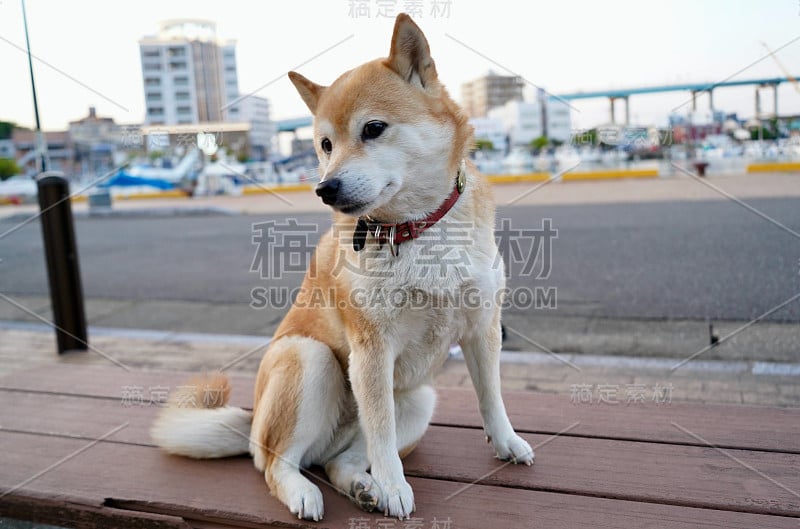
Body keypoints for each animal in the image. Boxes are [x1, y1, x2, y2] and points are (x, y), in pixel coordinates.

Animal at [153, 12, 536, 520]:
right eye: (325, 144)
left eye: (373, 128)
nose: (325, 188)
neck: (414, 229)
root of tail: (252, 423)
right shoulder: (371, 346)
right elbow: (382, 432)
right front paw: (394, 486)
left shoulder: (482, 327)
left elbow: (491, 397)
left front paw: (506, 442)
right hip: (310, 360)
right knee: (275, 464)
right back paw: (306, 493)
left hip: (418, 400)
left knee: (342, 460)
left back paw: (362, 488)